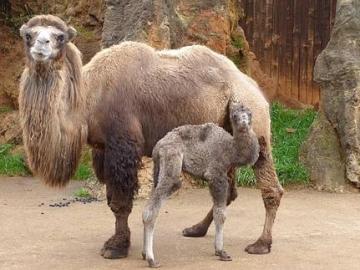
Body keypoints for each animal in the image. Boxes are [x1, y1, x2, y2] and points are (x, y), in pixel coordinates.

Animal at [142, 102, 260, 268]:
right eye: (234, 115)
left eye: (249, 113)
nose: (243, 123)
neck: (232, 149)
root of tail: (157, 147)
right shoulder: (216, 175)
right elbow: (220, 214)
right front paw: (221, 251)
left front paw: (218, 250)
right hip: (172, 158)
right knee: (157, 204)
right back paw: (151, 259)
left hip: (158, 169)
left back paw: (144, 254)